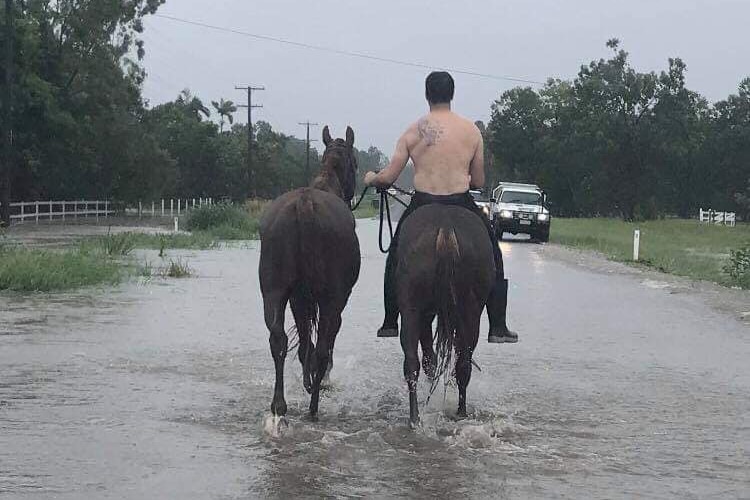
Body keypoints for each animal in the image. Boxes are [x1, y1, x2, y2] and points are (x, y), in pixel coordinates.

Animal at [260, 126, 362, 422]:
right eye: (356, 162)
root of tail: (304, 205)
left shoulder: (297, 297)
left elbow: (305, 337)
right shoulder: (334, 299)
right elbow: (320, 343)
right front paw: (317, 380)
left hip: (274, 292)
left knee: (279, 340)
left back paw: (279, 403)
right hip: (331, 299)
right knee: (322, 347)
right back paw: (314, 406)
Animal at [396, 203, 496, 426]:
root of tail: (446, 228)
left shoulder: (424, 315)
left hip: (413, 311)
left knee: (413, 363)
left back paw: (416, 418)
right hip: (468, 314)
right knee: (462, 363)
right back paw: (459, 412)